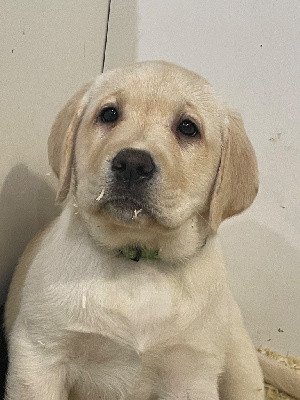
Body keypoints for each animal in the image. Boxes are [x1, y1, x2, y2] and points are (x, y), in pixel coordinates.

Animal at [2, 61, 274, 400]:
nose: (132, 163)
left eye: (188, 128)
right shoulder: (40, 354)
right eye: (109, 114)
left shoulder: (190, 375)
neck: (139, 259)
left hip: (241, 363)